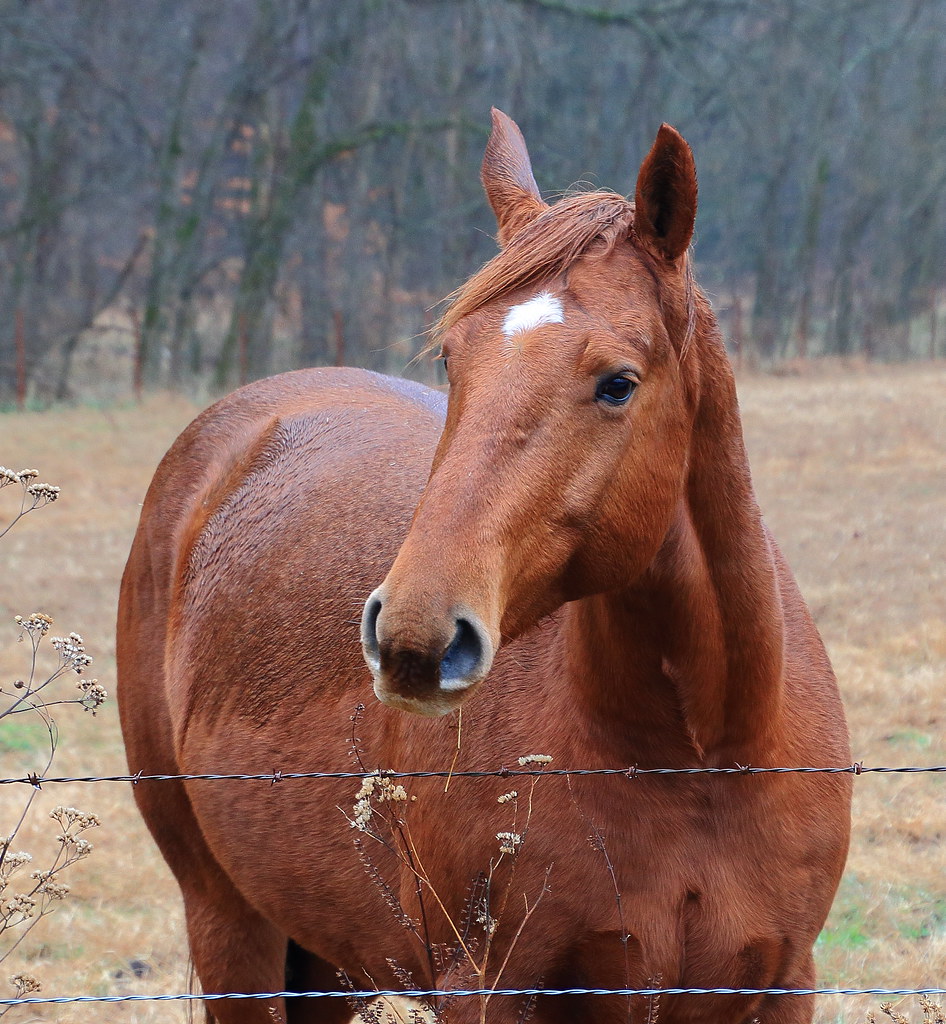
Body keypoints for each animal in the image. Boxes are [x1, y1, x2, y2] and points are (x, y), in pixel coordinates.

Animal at [117, 109, 851, 1024]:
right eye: (450, 360)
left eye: (618, 383)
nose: (416, 639)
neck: (699, 757)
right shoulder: (488, 987)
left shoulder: (784, 981)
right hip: (229, 926)